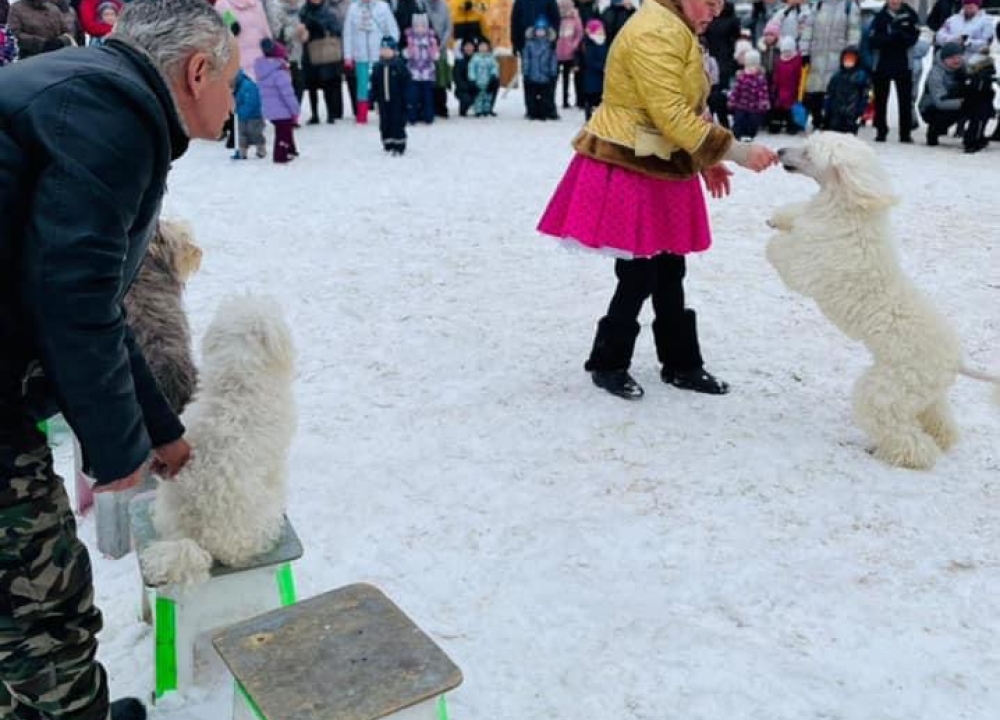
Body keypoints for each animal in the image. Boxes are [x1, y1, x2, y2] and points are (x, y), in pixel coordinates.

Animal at [768, 131, 996, 470]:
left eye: (808, 152)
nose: (780, 150)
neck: (847, 209)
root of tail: (955, 361)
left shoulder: (807, 263)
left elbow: (782, 251)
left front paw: (774, 236)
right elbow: (797, 217)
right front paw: (778, 219)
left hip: (888, 389)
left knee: (901, 431)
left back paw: (903, 456)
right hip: (925, 393)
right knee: (939, 419)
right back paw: (943, 440)